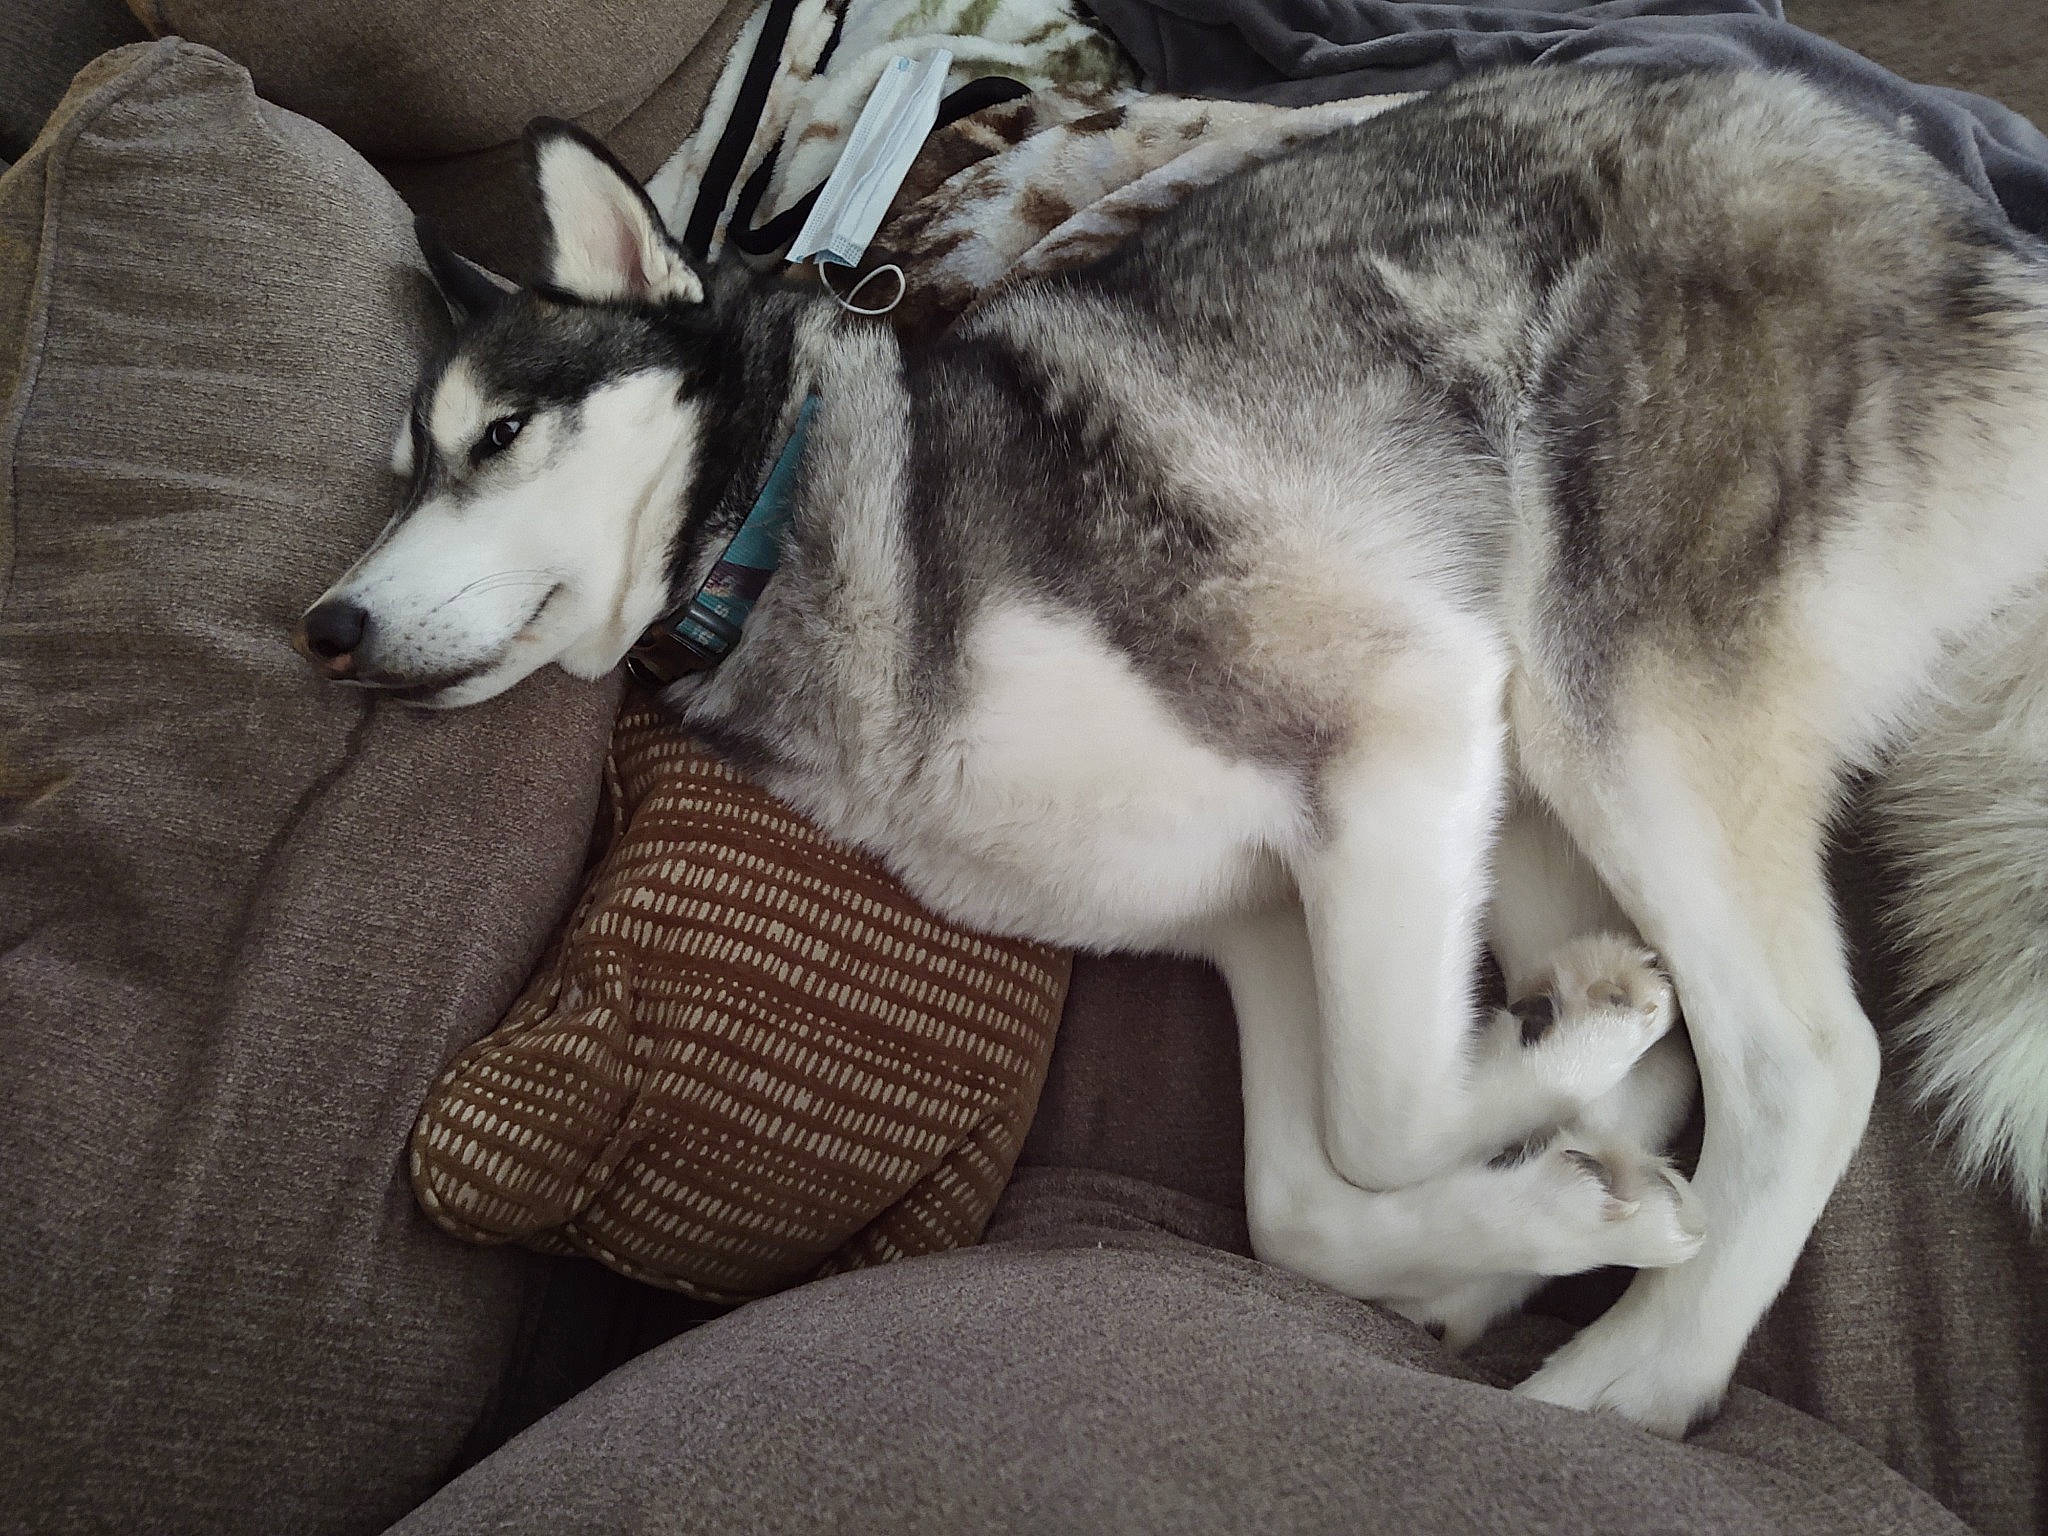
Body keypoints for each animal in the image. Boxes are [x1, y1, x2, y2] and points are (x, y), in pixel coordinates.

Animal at [296, 65, 2048, 1435]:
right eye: (403, 468)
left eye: (496, 438)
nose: (325, 628)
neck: (786, 515)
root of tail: (1976, 239)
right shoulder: (1264, 921)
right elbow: (1303, 1204)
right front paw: (1534, 1205)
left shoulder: (1405, 710)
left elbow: (1379, 1117)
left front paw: (1555, 1151)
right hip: (1534, 798)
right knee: (1692, 1060)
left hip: (1581, 686)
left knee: (1810, 1062)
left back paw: (1636, 1373)